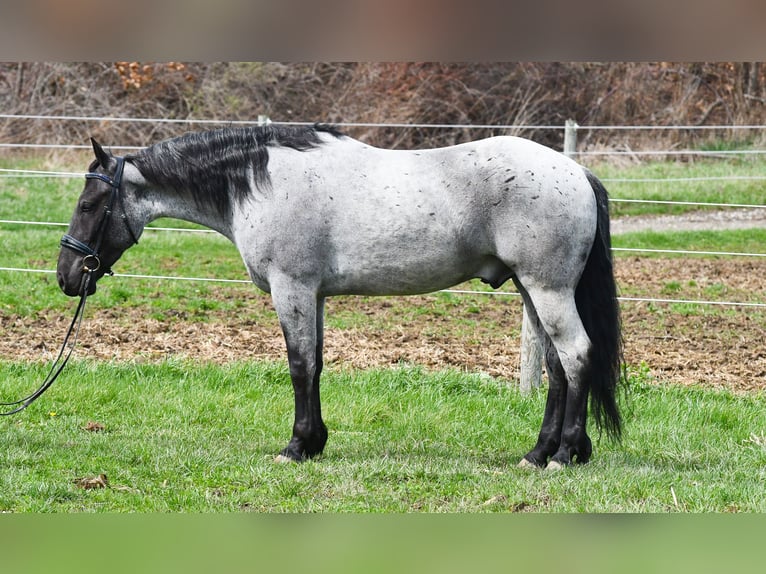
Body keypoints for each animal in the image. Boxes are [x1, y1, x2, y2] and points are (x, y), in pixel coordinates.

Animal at [57, 124, 623, 470]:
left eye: (89, 203)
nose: (67, 276)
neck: (262, 183)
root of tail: (576, 172)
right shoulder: (315, 295)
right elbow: (317, 363)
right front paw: (315, 442)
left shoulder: (291, 288)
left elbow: (299, 364)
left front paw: (296, 445)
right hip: (532, 290)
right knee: (556, 368)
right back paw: (541, 452)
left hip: (547, 291)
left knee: (576, 356)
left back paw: (564, 454)